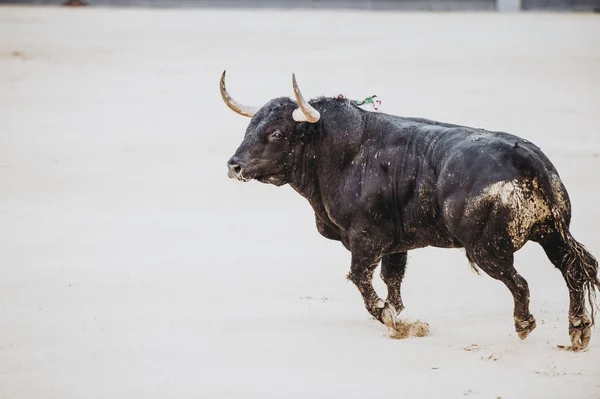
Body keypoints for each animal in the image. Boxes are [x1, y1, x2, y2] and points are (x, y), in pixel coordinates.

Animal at [221, 71, 600, 350]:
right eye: (250, 127)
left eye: (276, 133)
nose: (234, 165)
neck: (339, 152)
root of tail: (524, 155)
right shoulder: (396, 243)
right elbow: (393, 278)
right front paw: (400, 315)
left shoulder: (366, 239)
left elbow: (361, 278)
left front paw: (390, 318)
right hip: (550, 233)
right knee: (571, 269)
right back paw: (578, 330)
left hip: (487, 249)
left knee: (519, 282)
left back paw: (525, 324)